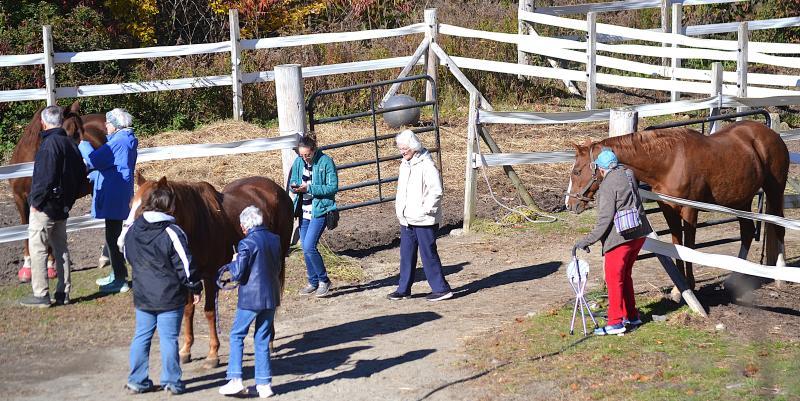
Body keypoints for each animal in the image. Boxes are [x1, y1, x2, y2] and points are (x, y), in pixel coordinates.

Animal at [128, 173, 293, 368]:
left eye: (147, 206)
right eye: (131, 205)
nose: (126, 239)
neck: (198, 225)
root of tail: (277, 189)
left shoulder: (210, 276)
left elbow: (209, 312)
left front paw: (213, 354)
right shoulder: (188, 276)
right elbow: (188, 310)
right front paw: (186, 350)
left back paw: (270, 340)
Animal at [565, 120, 789, 294]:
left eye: (577, 171)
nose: (569, 204)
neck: (669, 162)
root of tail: (771, 135)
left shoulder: (690, 210)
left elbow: (688, 246)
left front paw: (689, 285)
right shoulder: (668, 209)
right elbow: (677, 244)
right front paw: (679, 288)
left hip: (774, 191)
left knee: (779, 227)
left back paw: (781, 275)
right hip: (741, 200)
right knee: (748, 232)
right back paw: (734, 278)